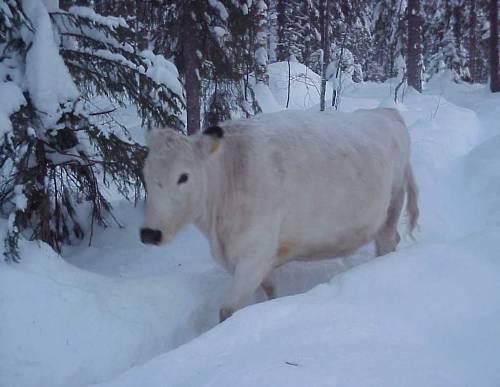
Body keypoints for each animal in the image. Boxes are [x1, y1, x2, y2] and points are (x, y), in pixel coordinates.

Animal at [141, 108, 418, 322]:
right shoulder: (256, 258)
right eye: (145, 173)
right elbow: (270, 289)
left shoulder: (254, 254)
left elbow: (227, 310)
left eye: (183, 176)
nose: (149, 233)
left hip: (393, 204)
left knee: (387, 243)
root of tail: (386, 112)